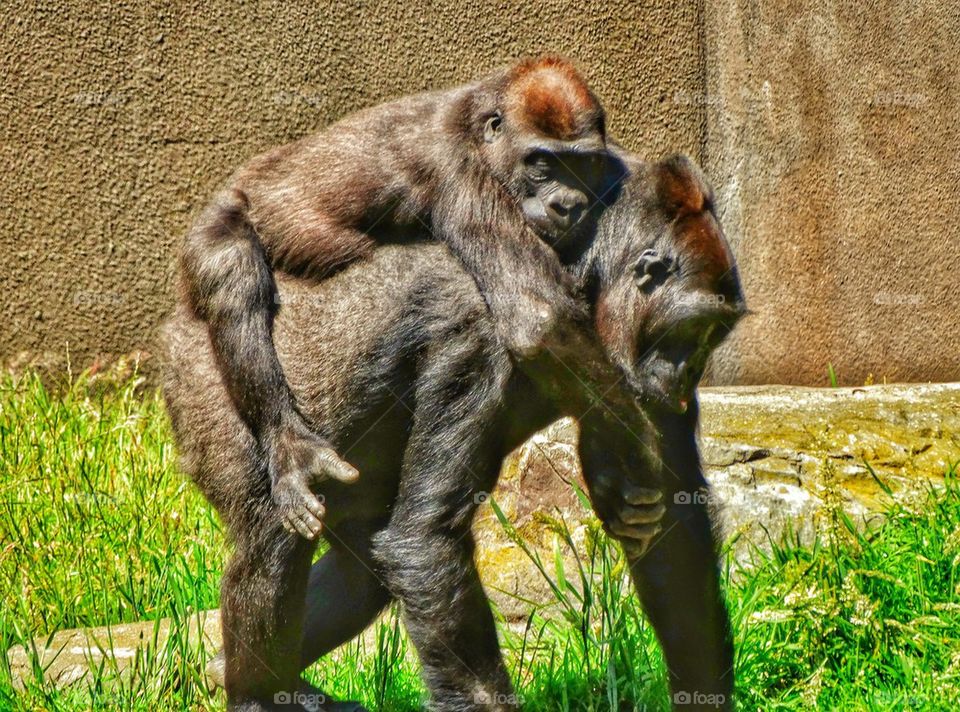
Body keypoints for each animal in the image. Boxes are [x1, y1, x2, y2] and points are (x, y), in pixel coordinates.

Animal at [161, 147, 748, 708]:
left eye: (719, 333)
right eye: (699, 329)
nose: (686, 376)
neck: (585, 273)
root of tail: (176, 321)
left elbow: (676, 530)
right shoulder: (481, 333)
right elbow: (426, 541)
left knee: (361, 570)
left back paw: (238, 675)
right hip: (212, 380)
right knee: (275, 545)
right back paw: (257, 697)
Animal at [178, 58, 616, 544]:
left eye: (584, 163)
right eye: (542, 164)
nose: (568, 205)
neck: (480, 117)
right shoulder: (458, 169)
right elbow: (540, 319)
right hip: (218, 224)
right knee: (234, 281)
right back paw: (287, 442)